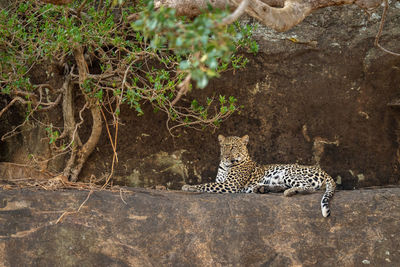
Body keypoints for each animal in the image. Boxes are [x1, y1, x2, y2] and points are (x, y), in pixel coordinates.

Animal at [183, 136, 336, 218]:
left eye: (233, 147)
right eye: (224, 146)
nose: (225, 156)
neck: (226, 165)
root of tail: (322, 170)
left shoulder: (230, 185)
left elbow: (206, 184)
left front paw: (188, 187)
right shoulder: (222, 182)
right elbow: (209, 183)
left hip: (289, 172)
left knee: (309, 188)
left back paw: (289, 192)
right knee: (282, 186)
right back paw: (261, 188)